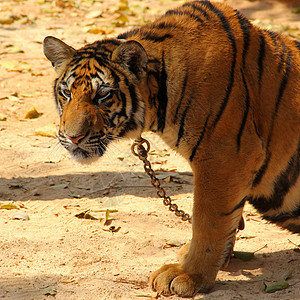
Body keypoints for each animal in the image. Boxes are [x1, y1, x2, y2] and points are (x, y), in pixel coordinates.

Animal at [43, 0, 298, 298]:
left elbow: (209, 220)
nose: (73, 138)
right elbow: (226, 218)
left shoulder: (225, 155)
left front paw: (190, 274)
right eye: (66, 93)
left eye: (103, 95)